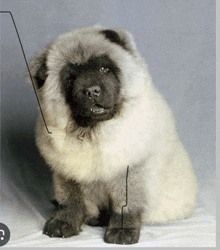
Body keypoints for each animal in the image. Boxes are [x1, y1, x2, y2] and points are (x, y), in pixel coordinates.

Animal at [29, 25, 198, 244]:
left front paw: (121, 231)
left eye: (104, 69)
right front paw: (63, 222)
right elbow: (70, 200)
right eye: (71, 77)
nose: (92, 90)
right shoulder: (65, 172)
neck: (92, 132)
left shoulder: (130, 171)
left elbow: (125, 206)